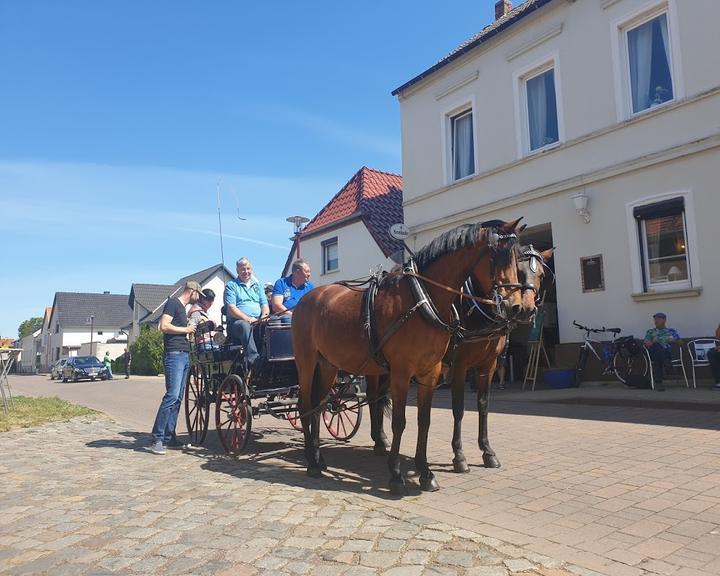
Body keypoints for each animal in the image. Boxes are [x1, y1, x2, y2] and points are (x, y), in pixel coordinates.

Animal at [292, 218, 528, 492]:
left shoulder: (431, 373)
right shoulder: (404, 373)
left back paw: (319, 458)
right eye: (496, 257)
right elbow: (400, 421)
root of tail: (307, 298)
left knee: (319, 406)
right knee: (305, 404)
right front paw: (396, 475)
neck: (422, 298)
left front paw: (425, 473)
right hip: (307, 362)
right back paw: (311, 461)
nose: (517, 307)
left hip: (329, 365)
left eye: (518, 260)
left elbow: (424, 421)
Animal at [448, 243, 556, 472]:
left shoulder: (488, 365)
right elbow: (458, 408)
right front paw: (459, 455)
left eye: (541, 275)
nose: (526, 309)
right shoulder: (459, 366)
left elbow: (483, 405)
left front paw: (487, 451)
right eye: (519, 271)